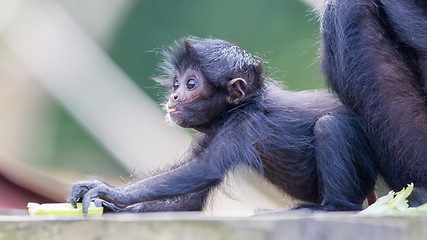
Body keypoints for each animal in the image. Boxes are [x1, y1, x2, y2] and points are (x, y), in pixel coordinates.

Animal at [67, 37, 378, 216]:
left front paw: (109, 193)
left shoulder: (243, 124)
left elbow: (206, 169)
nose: (174, 96)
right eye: (176, 83)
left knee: (329, 125)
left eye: (191, 84)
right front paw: (108, 205)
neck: (245, 103)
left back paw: (331, 208)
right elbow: (188, 200)